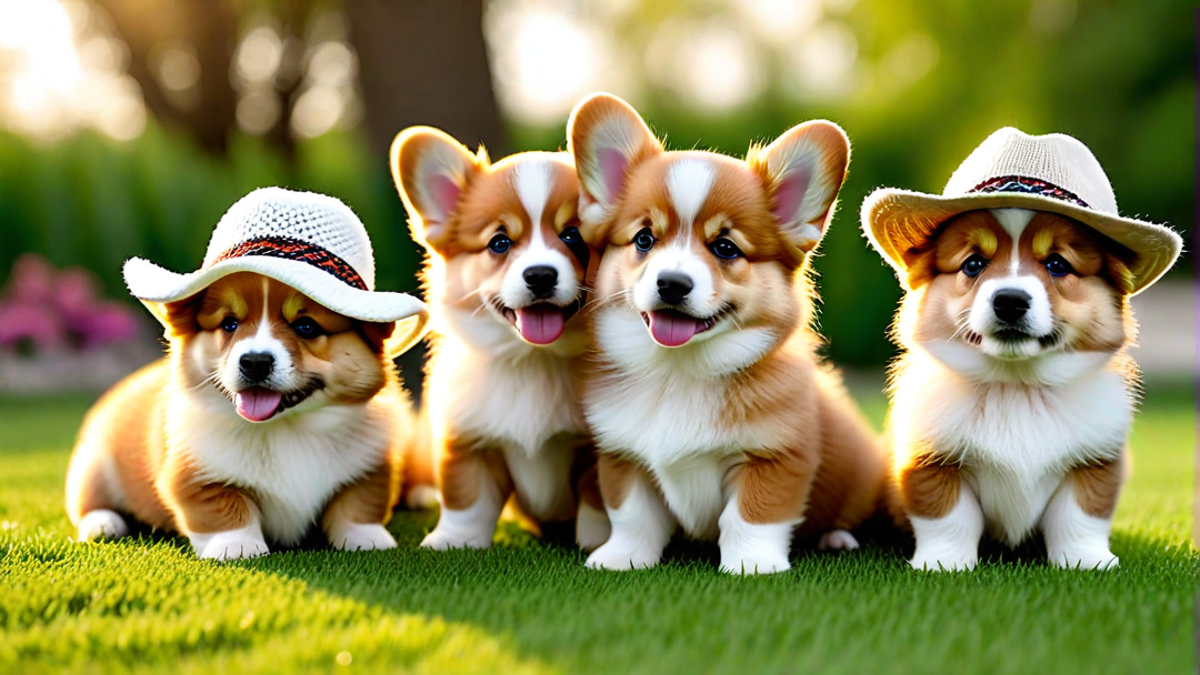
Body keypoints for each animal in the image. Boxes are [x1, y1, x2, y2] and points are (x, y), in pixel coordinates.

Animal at [388, 124, 604, 547]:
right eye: (499, 243)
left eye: (573, 236)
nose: (540, 275)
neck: (535, 359)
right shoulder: (469, 439)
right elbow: (466, 498)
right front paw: (451, 542)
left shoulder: (594, 449)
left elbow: (597, 502)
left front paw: (599, 543)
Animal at [566, 91, 888, 569]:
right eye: (644, 239)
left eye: (725, 247)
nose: (672, 283)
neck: (678, 373)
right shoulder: (622, 455)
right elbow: (631, 515)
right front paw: (620, 558)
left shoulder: (774, 456)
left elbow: (751, 516)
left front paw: (752, 566)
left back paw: (837, 539)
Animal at [883, 210, 1142, 566]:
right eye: (973, 264)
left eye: (1057, 264)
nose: (1010, 301)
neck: (1017, 386)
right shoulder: (932, 461)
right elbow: (949, 517)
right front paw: (944, 564)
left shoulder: (1095, 461)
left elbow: (1080, 517)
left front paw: (1088, 562)